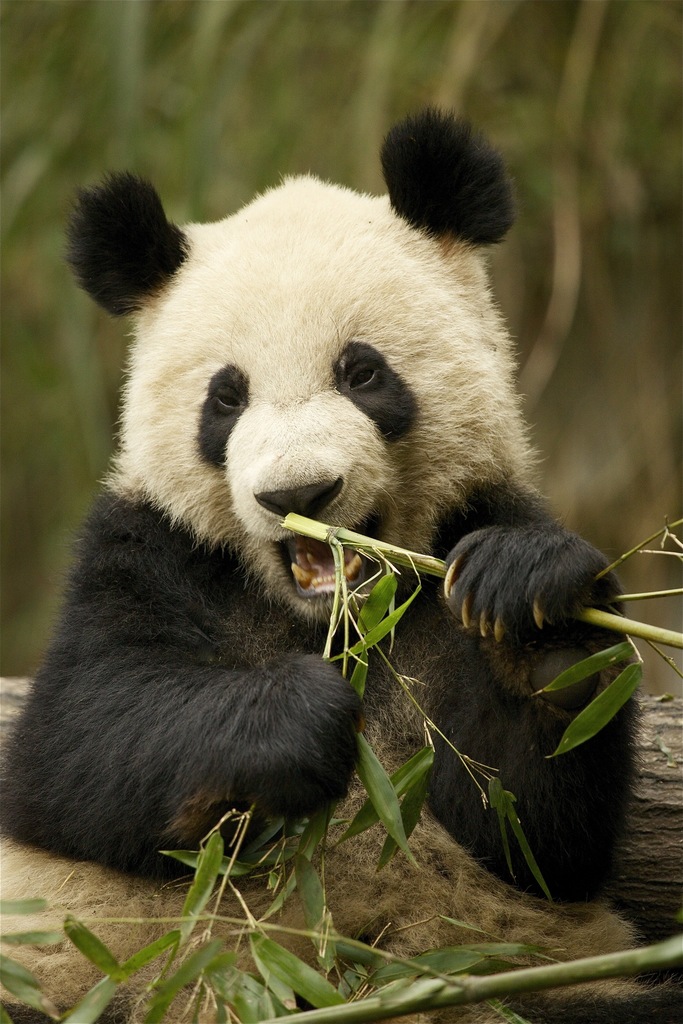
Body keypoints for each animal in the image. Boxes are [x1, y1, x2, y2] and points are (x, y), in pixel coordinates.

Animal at [1, 109, 676, 1024]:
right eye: (226, 397)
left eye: (361, 371)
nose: (301, 491)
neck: (331, 619)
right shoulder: (148, 549)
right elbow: (76, 745)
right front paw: (298, 717)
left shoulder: (471, 531)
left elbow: (533, 833)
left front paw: (529, 607)